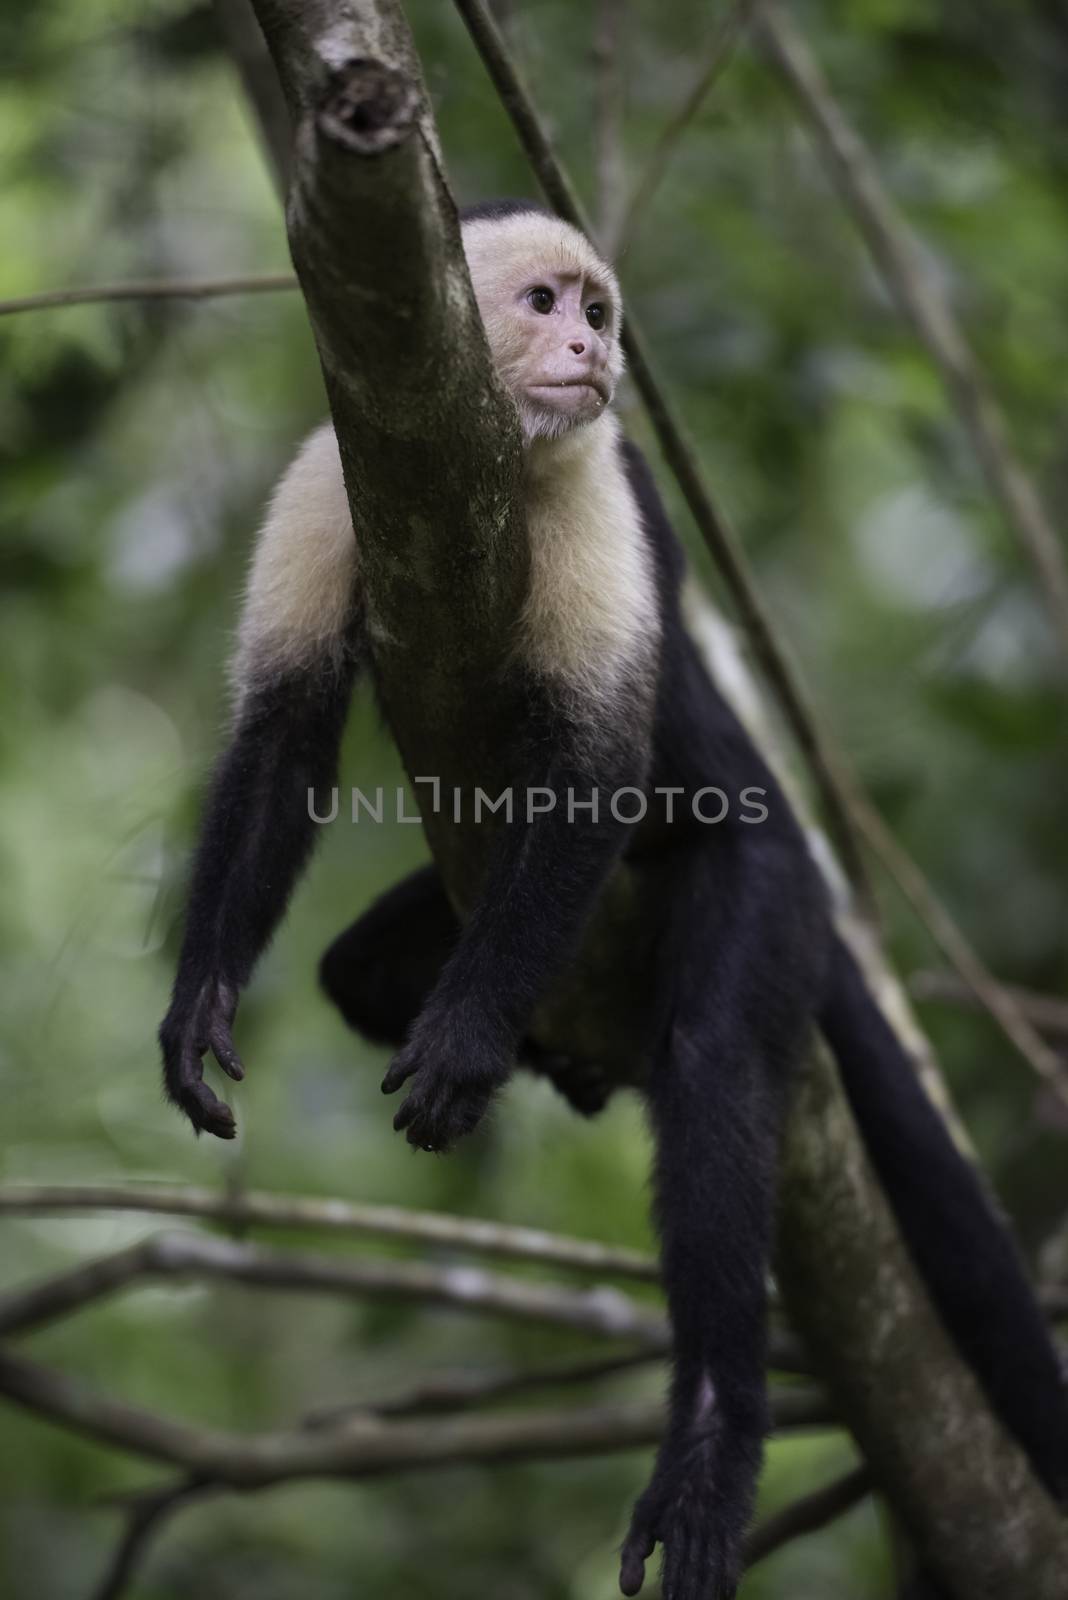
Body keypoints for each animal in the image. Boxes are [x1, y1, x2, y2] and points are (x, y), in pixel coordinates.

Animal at [160, 203, 1068, 1600]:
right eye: (546, 303)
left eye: (598, 312)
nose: (593, 350)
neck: (467, 462)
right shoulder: (328, 472)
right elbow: (283, 741)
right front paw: (199, 1002)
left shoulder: (605, 486)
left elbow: (599, 768)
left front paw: (473, 1031)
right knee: (359, 975)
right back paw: (572, 1065)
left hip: (772, 881)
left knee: (715, 1073)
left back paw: (707, 1437)